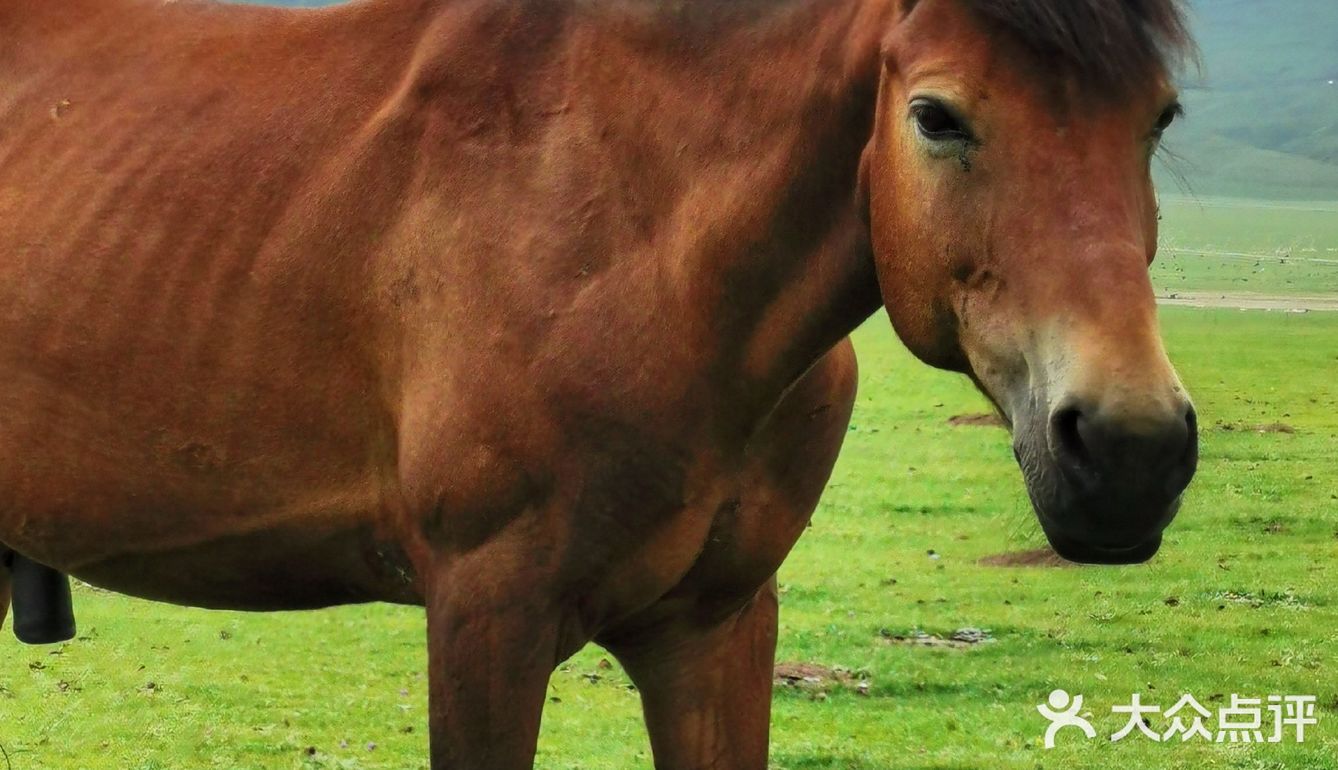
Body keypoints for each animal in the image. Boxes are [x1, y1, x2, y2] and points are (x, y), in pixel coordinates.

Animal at [0, 0, 1193, 765]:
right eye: (937, 116)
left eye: (1160, 117)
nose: (1131, 447)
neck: (634, 231)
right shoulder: (487, 616)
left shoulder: (714, 627)